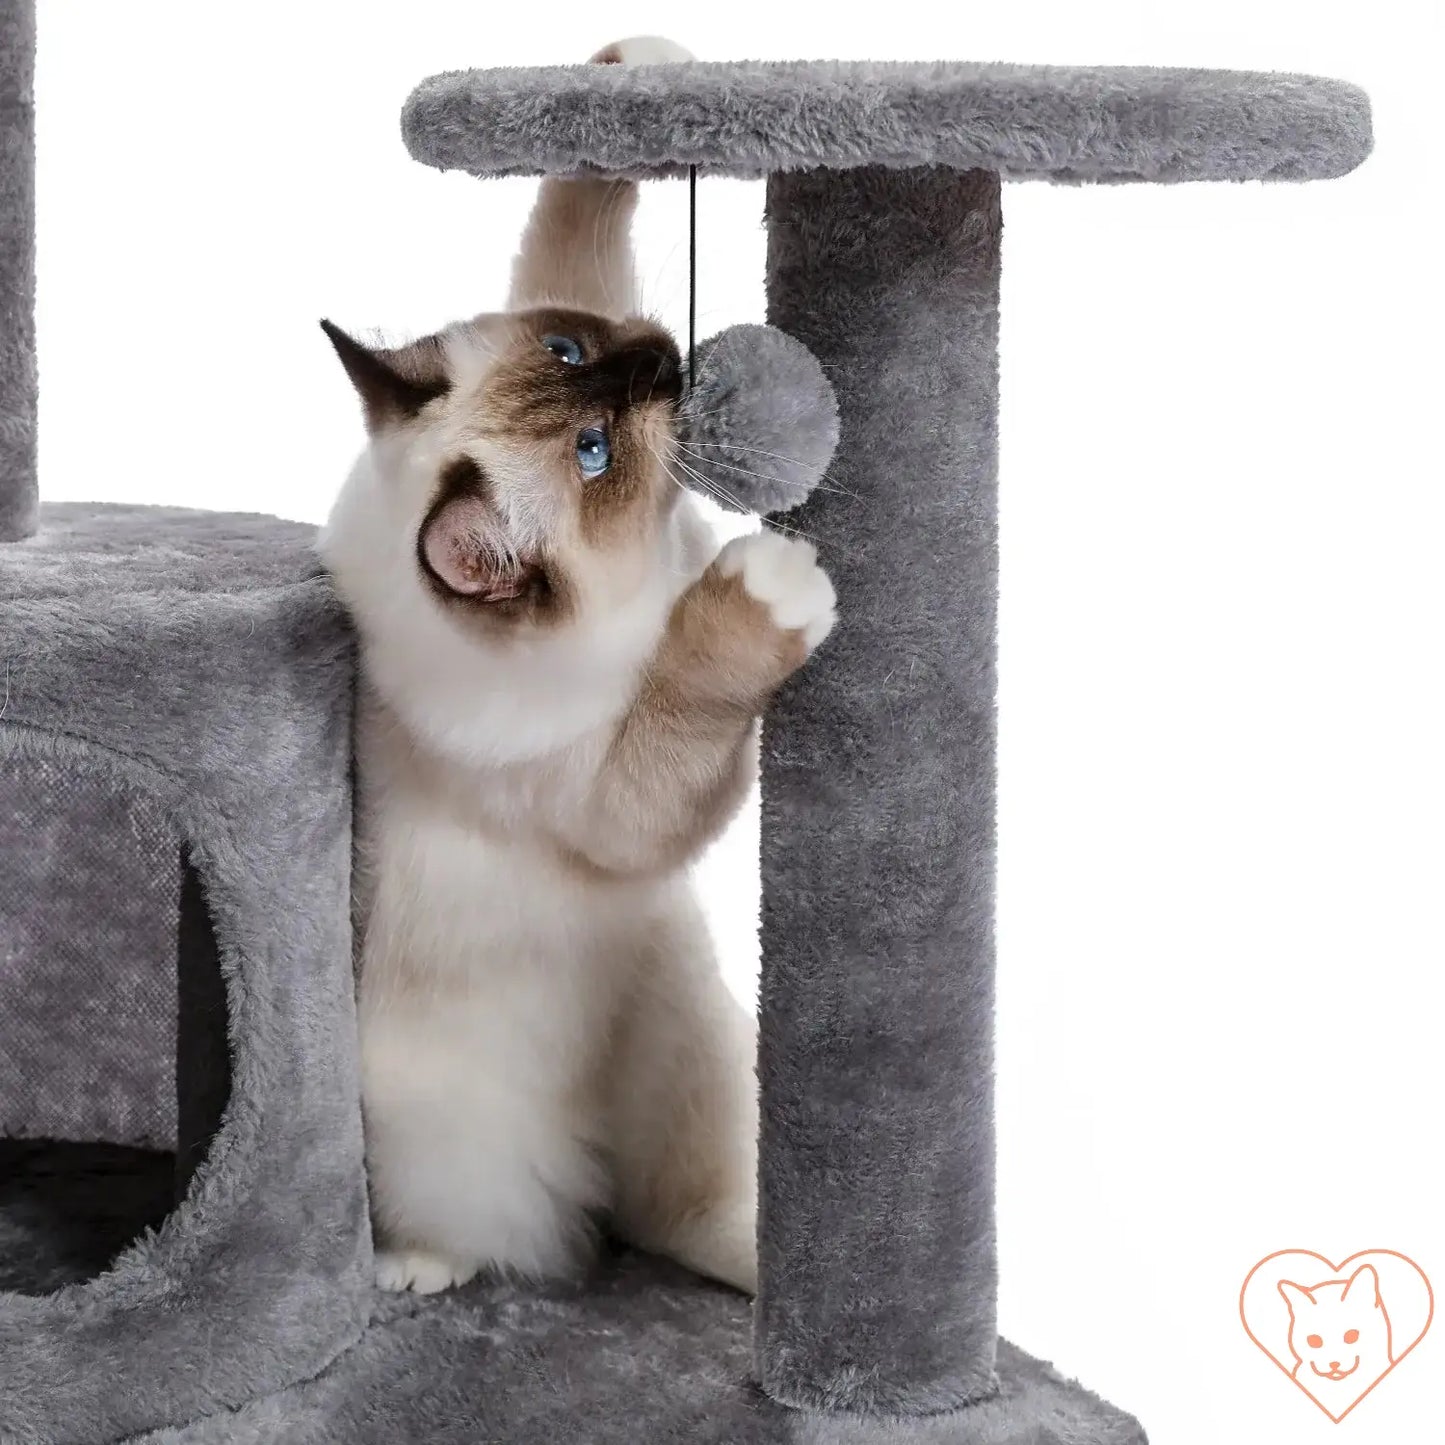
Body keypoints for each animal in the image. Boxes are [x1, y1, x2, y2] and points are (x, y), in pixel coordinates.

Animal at [319, 36, 838, 1300]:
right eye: (593, 453)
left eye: (571, 348)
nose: (658, 360)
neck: (653, 557)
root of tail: (593, 1161)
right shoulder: (610, 801)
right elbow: (691, 682)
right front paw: (768, 588)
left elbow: (569, 217)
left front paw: (629, 66)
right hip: (446, 1142)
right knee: (526, 1233)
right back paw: (418, 1267)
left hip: (699, 1054)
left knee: (681, 1214)